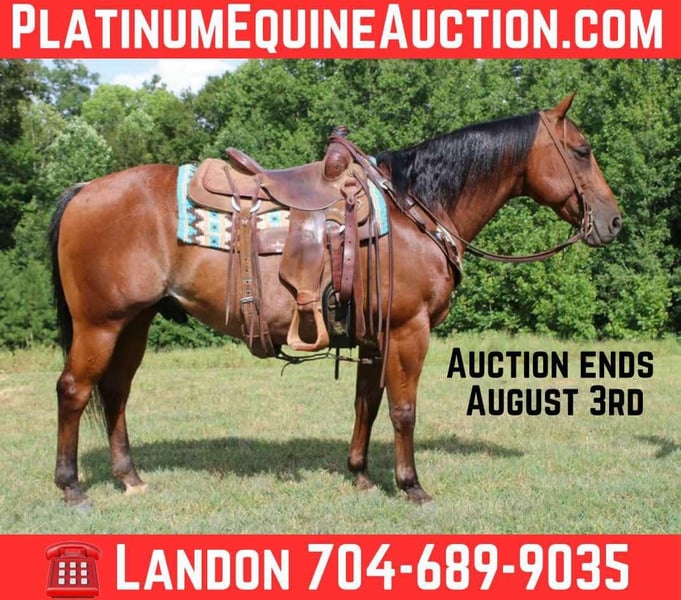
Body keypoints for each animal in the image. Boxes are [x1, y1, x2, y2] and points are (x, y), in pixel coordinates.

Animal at [48, 93, 621, 507]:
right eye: (583, 150)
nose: (614, 221)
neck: (416, 209)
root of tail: (82, 189)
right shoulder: (409, 330)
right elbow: (404, 410)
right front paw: (411, 486)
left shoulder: (373, 333)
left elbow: (367, 402)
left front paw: (361, 475)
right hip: (100, 323)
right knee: (75, 391)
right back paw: (72, 487)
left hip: (135, 322)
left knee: (116, 391)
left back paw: (130, 478)